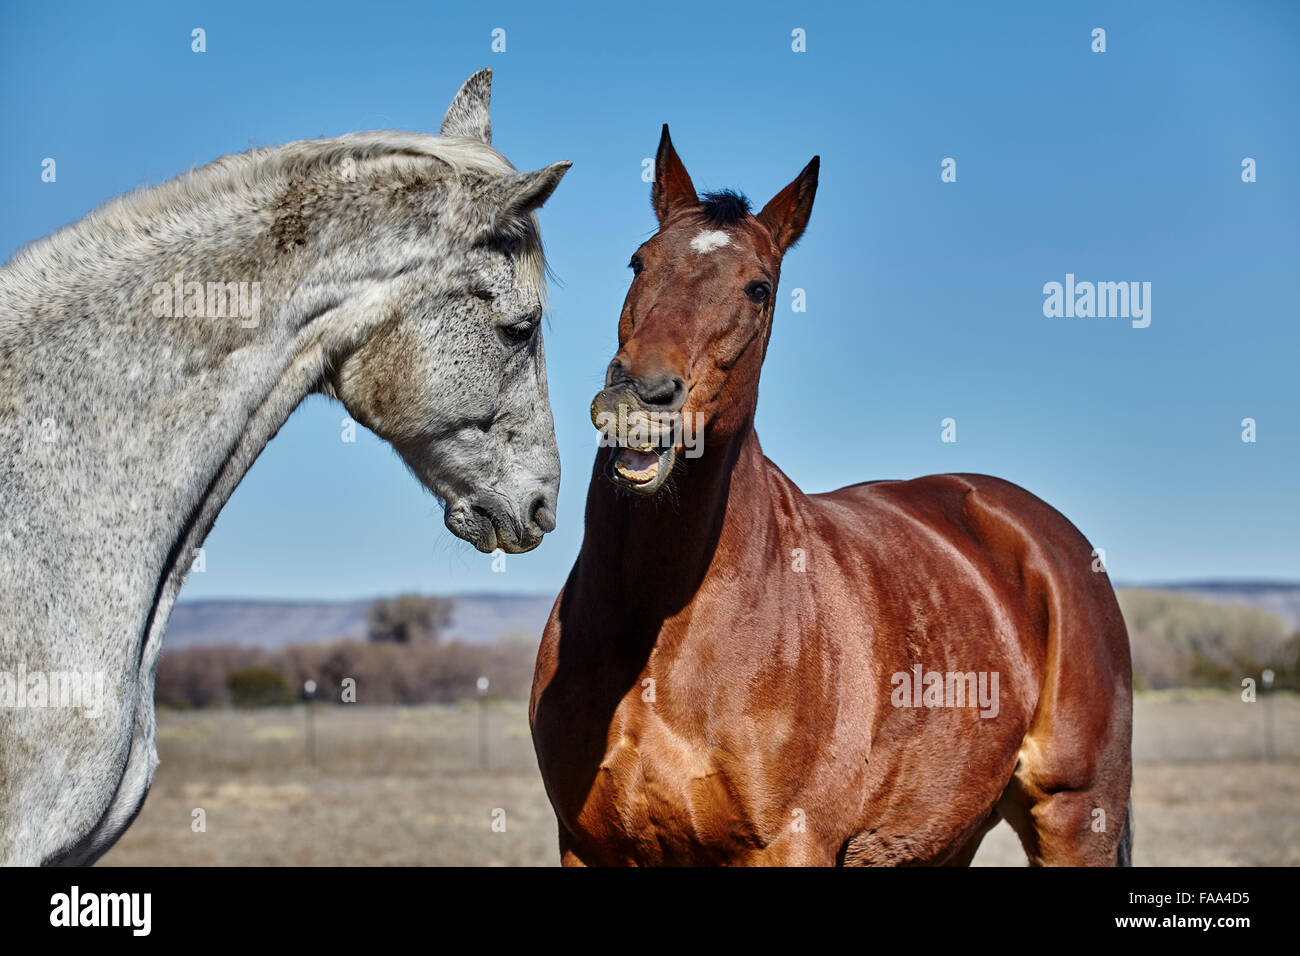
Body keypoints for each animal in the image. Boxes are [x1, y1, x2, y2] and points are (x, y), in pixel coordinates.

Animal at [533, 125, 1133, 868]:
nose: (640, 401)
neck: (657, 627)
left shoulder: (790, 843)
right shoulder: (587, 846)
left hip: (1075, 815)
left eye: (759, 288)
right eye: (638, 262)